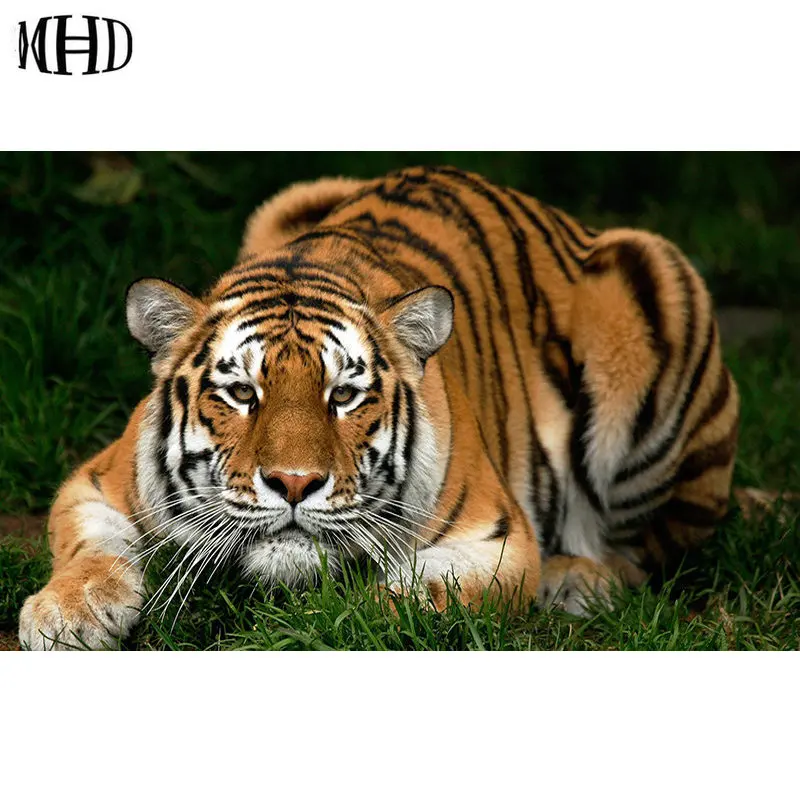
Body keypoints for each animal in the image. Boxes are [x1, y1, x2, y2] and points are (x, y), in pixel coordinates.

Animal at [18, 165, 740, 650]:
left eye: (344, 395)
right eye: (243, 393)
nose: (294, 484)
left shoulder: (494, 539)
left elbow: (411, 602)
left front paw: (321, 624)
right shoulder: (97, 480)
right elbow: (89, 547)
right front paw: (66, 615)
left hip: (655, 288)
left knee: (649, 549)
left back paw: (577, 580)